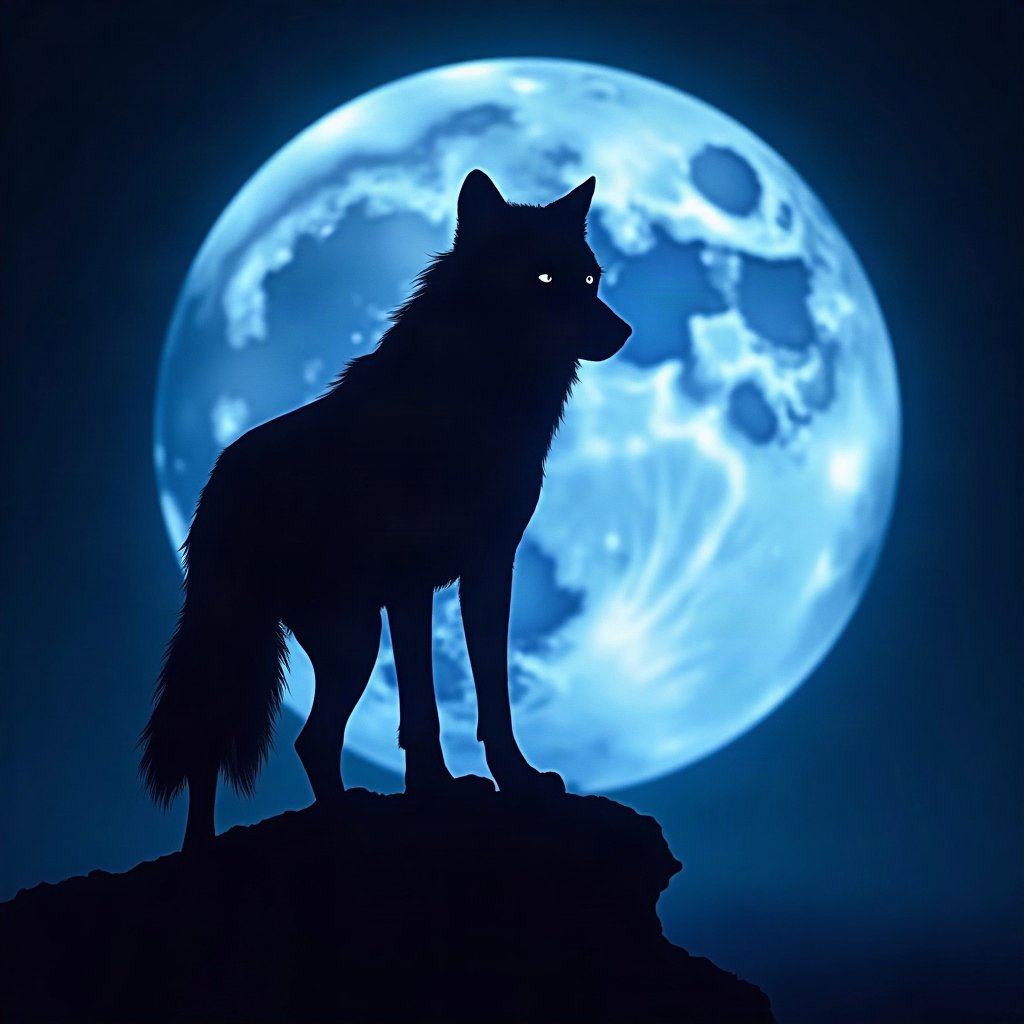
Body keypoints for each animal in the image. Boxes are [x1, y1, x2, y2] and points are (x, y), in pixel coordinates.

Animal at [140, 170, 632, 850]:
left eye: (588, 279)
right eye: (542, 278)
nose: (623, 333)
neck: (473, 398)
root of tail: (212, 491)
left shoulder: (485, 570)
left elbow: (489, 694)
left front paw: (507, 780)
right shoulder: (413, 582)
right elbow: (426, 704)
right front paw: (442, 789)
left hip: (330, 641)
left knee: (290, 742)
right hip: (331, 639)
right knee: (272, 740)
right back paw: (323, 825)